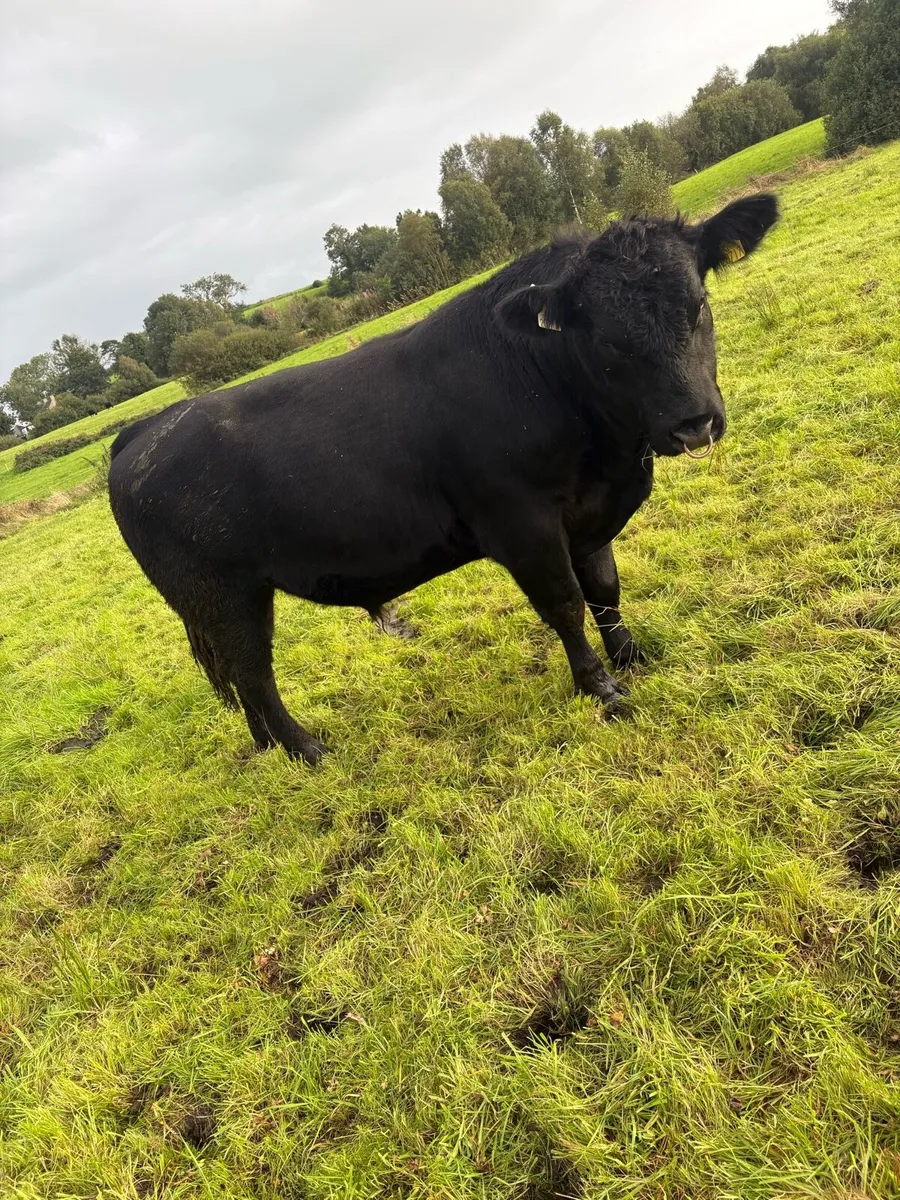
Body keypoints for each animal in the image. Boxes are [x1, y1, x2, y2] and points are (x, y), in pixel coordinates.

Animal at [109, 194, 779, 764]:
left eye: (698, 306)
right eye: (610, 340)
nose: (693, 423)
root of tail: (144, 429)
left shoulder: (590, 514)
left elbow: (605, 591)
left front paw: (633, 656)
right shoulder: (523, 525)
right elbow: (565, 605)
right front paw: (601, 688)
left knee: (240, 679)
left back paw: (273, 750)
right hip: (223, 595)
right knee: (253, 673)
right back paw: (307, 750)